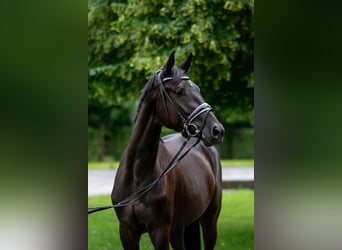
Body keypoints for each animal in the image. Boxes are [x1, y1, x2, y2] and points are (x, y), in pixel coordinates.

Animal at [111, 51, 224, 249]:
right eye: (179, 91)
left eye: (198, 89)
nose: (217, 130)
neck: (137, 176)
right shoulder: (127, 232)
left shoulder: (160, 231)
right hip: (177, 229)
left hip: (209, 221)